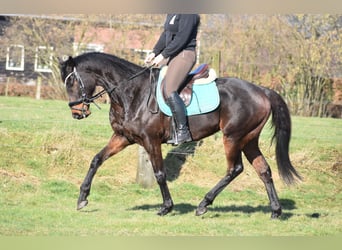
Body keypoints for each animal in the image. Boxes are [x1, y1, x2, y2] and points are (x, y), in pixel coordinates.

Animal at [60, 51, 300, 218]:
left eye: (71, 81)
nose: (76, 113)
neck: (132, 93)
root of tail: (262, 90)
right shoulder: (123, 138)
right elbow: (96, 160)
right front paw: (82, 198)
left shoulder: (151, 141)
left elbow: (159, 174)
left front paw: (166, 207)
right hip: (248, 139)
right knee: (264, 170)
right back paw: (276, 211)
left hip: (232, 137)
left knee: (235, 169)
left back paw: (203, 204)